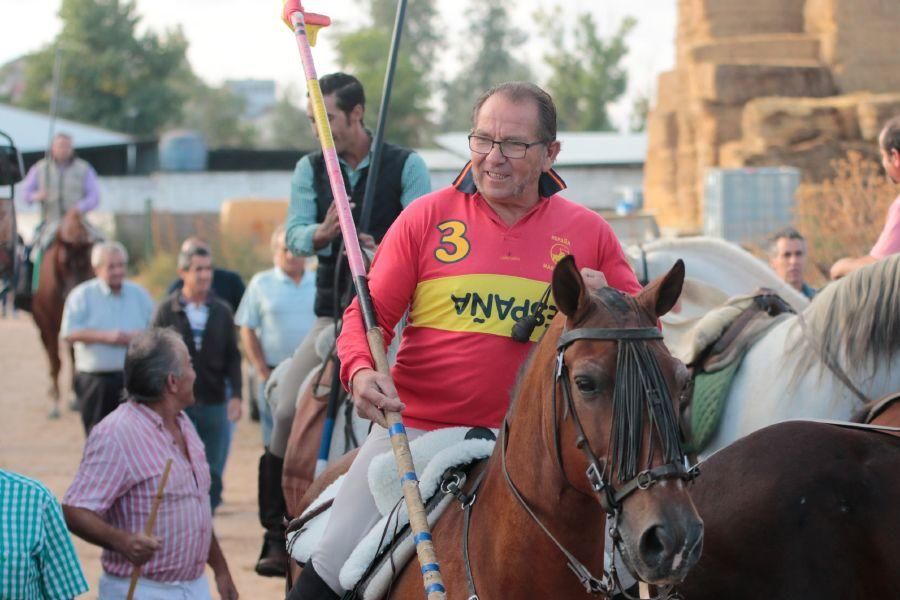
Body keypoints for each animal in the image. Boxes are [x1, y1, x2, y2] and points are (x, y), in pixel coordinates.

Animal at [30, 211, 94, 418]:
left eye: (87, 263)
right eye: (64, 262)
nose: (74, 295)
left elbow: (75, 358)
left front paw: (75, 398)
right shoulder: (48, 323)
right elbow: (56, 361)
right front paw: (56, 404)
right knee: (50, 354)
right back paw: (52, 390)